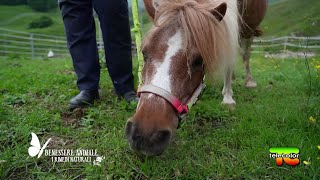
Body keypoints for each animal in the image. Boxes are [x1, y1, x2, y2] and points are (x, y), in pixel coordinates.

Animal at [125, 0, 268, 156]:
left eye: (198, 61)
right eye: (144, 53)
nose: (145, 135)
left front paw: (228, 98)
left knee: (245, 53)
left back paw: (249, 81)